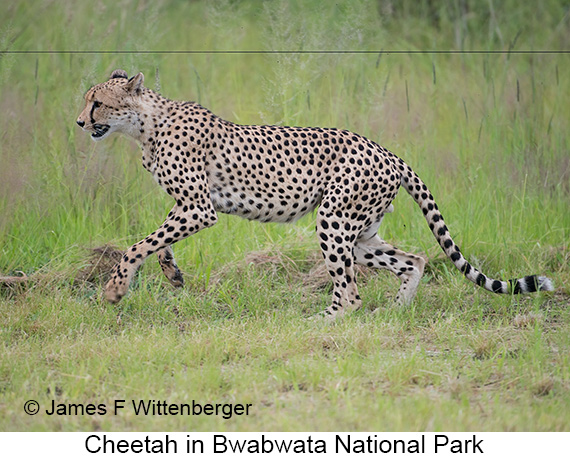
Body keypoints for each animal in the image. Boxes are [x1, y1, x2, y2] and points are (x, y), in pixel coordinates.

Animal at [75, 69, 552, 318]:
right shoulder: (189, 205)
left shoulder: (199, 208)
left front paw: (115, 291)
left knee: (352, 292)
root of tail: (388, 151)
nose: (80, 122)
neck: (145, 125)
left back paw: (323, 323)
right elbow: (158, 242)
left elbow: (138, 245)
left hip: (334, 220)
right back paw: (396, 312)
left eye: (97, 103)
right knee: (413, 259)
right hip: (361, 234)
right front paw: (172, 274)